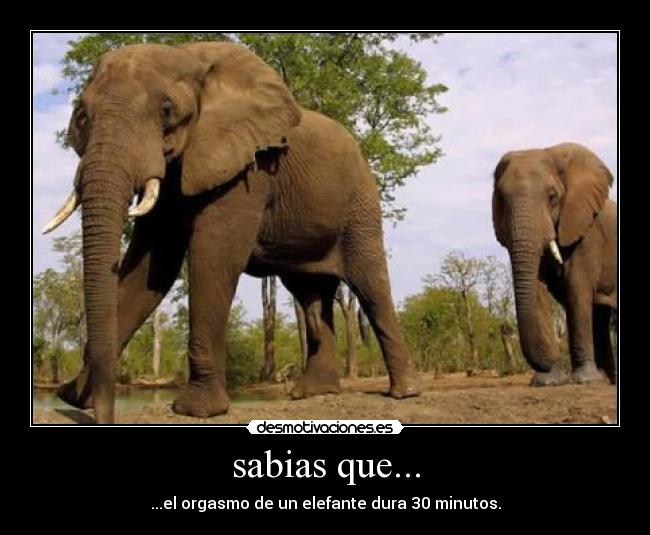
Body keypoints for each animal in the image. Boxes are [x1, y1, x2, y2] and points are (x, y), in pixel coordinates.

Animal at [43, 42, 421, 423]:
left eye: (167, 112)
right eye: (81, 116)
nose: (104, 414)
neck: (189, 55)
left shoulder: (247, 170)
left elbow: (212, 255)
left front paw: (197, 410)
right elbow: (151, 268)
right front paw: (74, 395)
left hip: (361, 201)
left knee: (369, 282)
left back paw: (404, 392)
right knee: (310, 295)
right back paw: (313, 392)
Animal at [492, 142, 617, 386]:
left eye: (552, 196)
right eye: (501, 199)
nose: (547, 364)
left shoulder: (586, 231)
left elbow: (577, 289)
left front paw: (585, 380)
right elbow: (537, 291)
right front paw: (549, 381)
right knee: (599, 315)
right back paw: (608, 380)